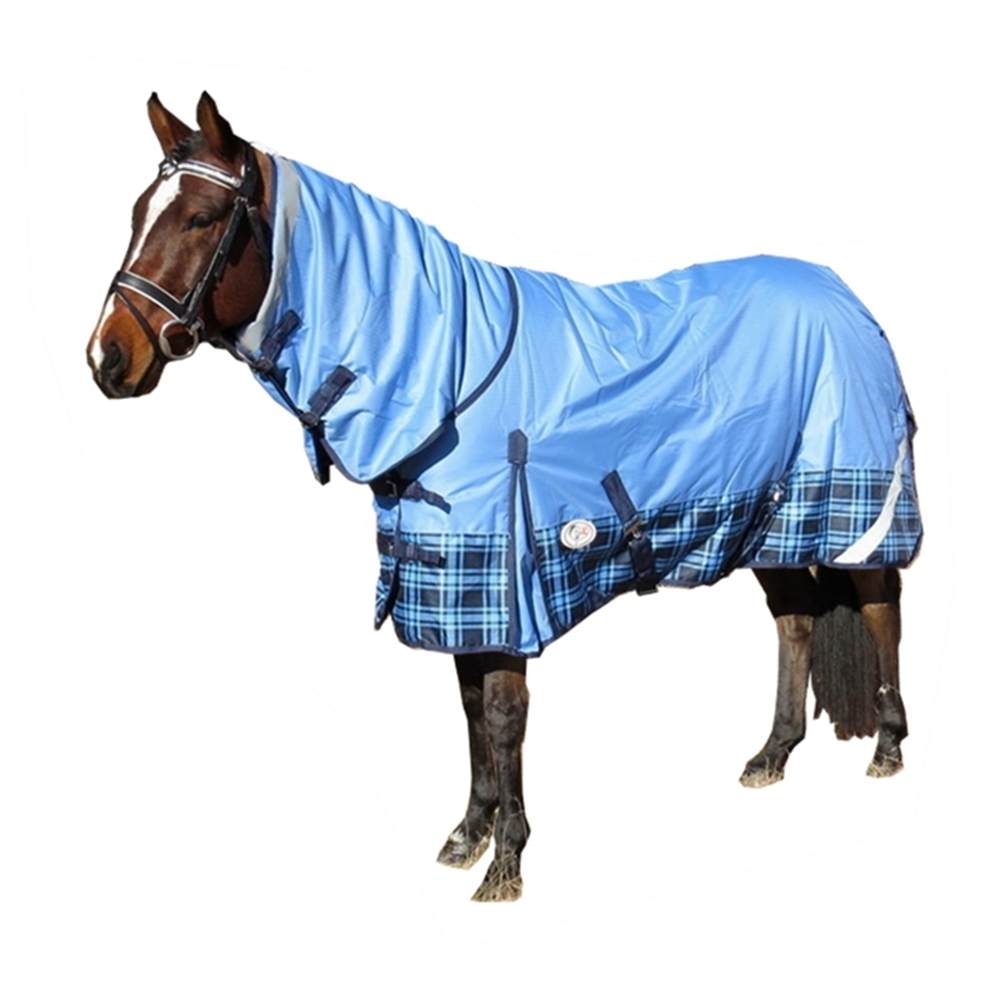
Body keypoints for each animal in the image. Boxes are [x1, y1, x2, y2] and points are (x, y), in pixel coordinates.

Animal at [86, 92, 921, 902]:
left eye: (200, 217)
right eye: (135, 214)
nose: (107, 357)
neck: (449, 367)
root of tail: (846, 296)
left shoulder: (504, 579)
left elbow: (501, 714)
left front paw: (507, 864)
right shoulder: (452, 581)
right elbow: (467, 709)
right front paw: (468, 834)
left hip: (850, 507)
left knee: (878, 603)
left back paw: (887, 744)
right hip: (767, 520)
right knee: (796, 618)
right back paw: (771, 755)